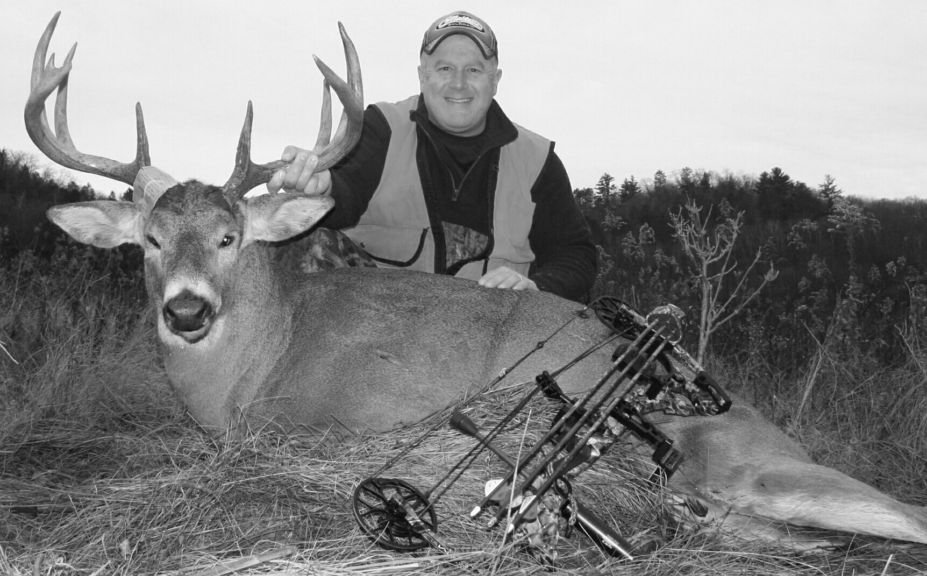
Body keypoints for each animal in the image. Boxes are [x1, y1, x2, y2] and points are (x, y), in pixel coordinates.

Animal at [25, 10, 924, 548]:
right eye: (147, 241)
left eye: (228, 236)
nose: (184, 312)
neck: (261, 360)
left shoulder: (324, 419)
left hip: (759, 468)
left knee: (900, 510)